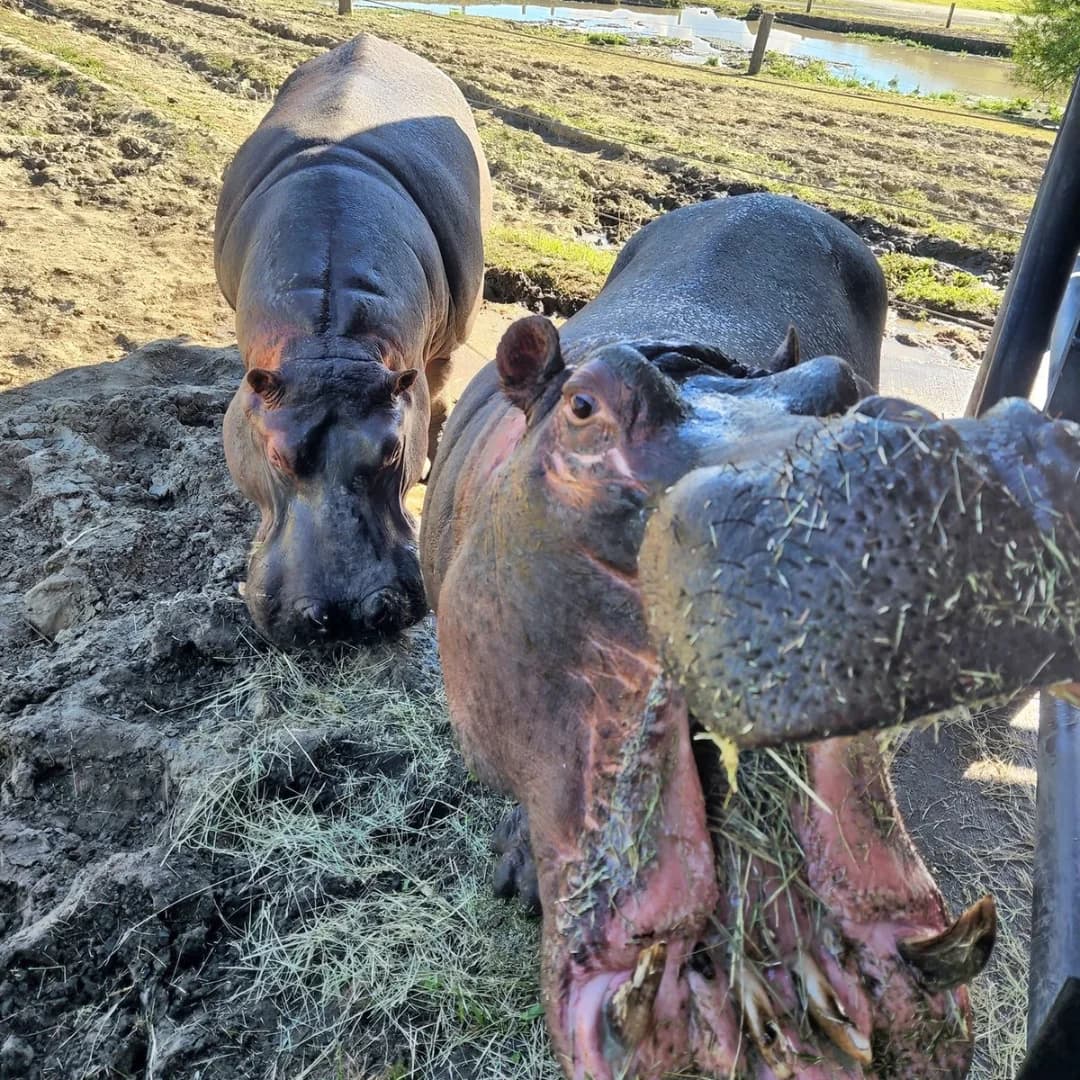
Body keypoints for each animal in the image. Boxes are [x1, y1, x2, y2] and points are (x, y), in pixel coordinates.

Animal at [215, 34, 491, 647]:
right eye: (277, 452)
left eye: (391, 450)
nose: (345, 614)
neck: (328, 343)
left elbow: (433, 395)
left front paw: (430, 457)